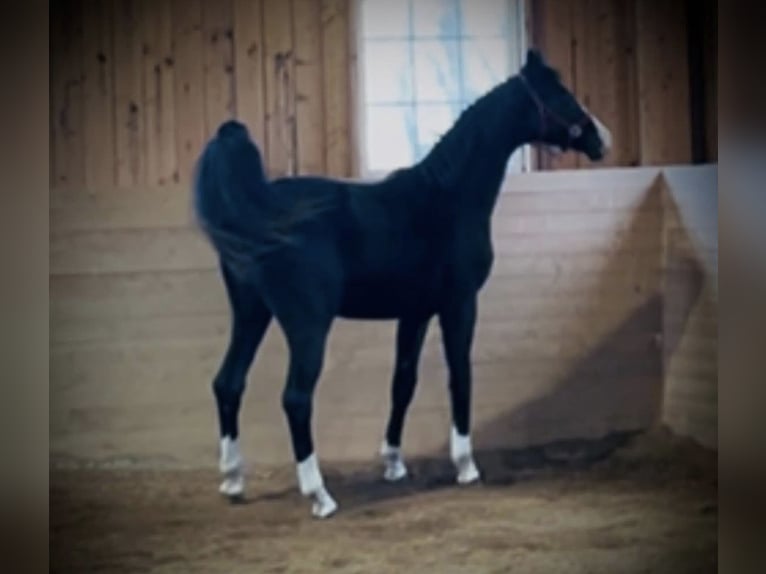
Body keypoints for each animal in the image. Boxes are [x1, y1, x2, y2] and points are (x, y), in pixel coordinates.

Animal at [192, 48, 612, 519]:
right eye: (562, 95)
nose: (601, 138)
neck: (447, 198)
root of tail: (259, 209)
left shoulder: (415, 312)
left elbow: (403, 383)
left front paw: (393, 463)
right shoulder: (459, 304)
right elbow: (460, 374)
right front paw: (466, 466)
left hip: (251, 314)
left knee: (228, 383)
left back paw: (233, 481)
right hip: (307, 325)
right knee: (296, 398)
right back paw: (320, 496)